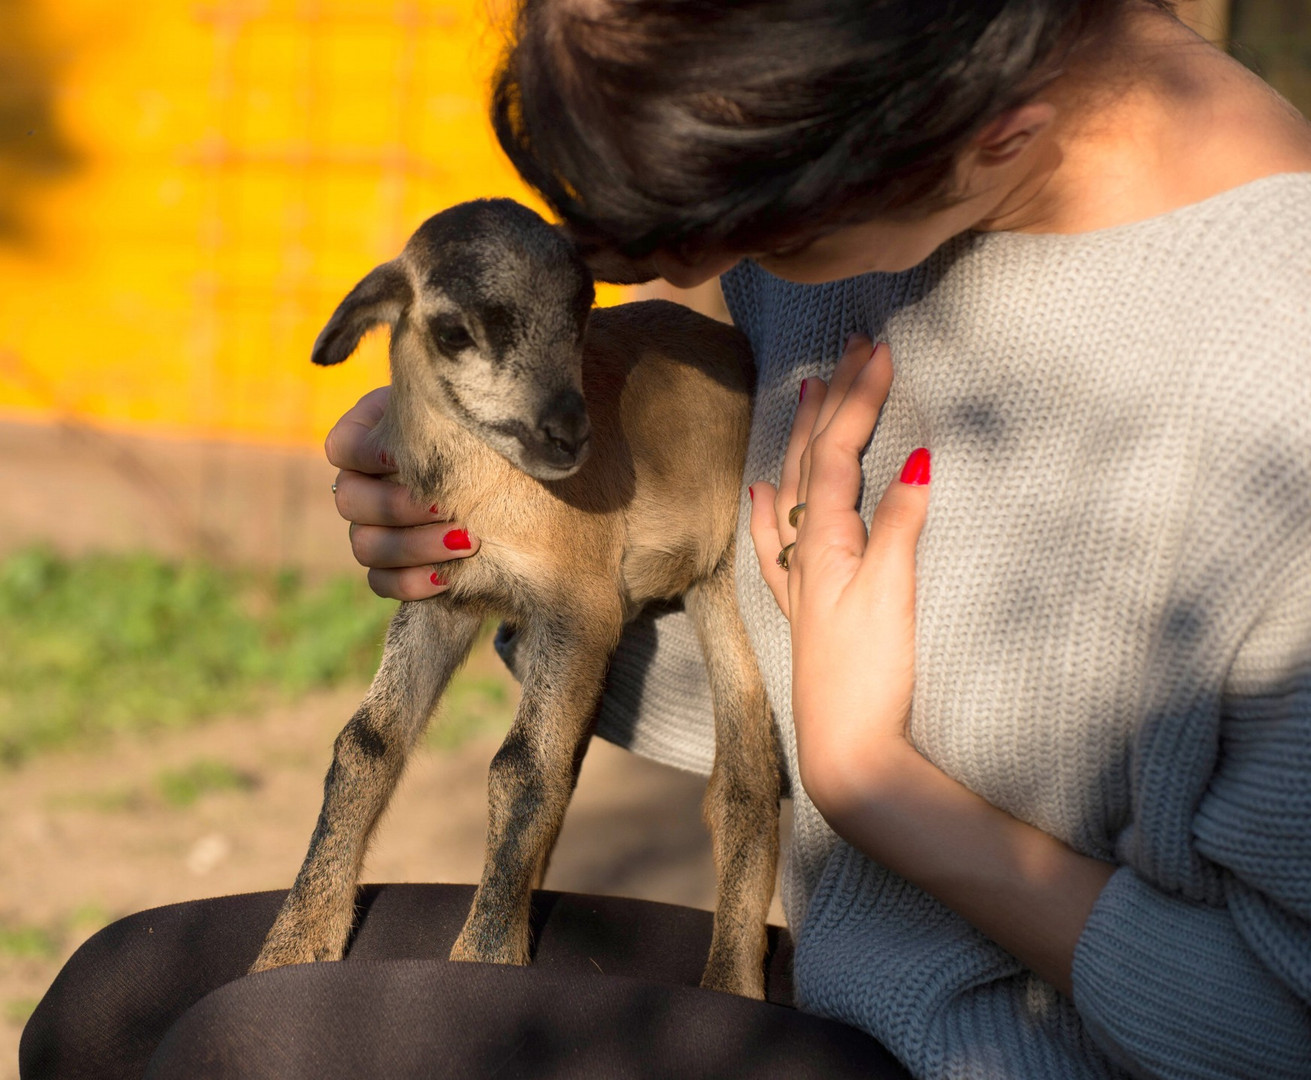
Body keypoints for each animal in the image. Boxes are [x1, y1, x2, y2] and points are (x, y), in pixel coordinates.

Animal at [250, 200, 776, 996]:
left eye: (582, 310)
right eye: (452, 332)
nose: (567, 434)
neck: (489, 491)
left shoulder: (578, 608)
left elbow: (522, 770)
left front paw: (486, 959)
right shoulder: (446, 596)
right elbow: (367, 743)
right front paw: (293, 944)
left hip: (726, 588)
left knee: (745, 784)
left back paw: (730, 984)